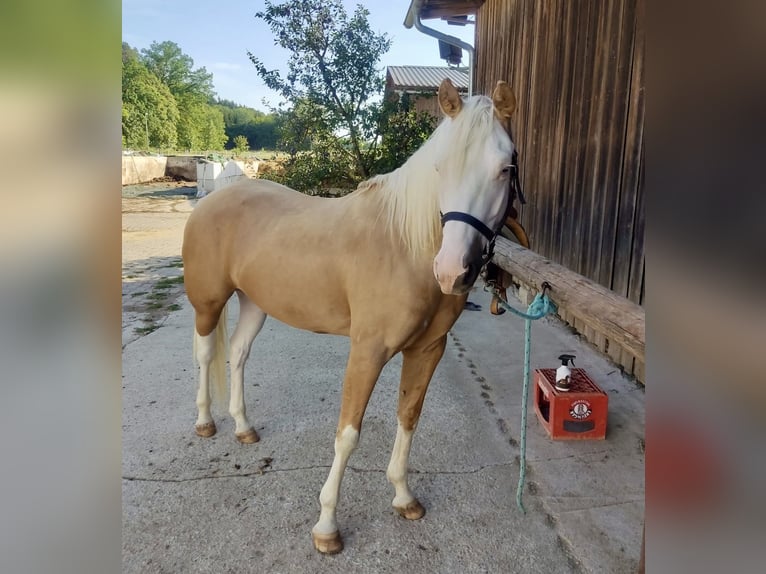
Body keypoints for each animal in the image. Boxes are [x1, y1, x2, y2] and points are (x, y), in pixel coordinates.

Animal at [182, 78, 518, 554]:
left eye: (506, 168)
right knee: (207, 354)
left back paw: (243, 427)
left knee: (240, 354)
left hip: (254, 303)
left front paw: (404, 497)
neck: (406, 246)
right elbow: (348, 434)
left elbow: (408, 417)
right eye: (440, 168)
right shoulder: (368, 351)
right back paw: (205, 422)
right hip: (208, 303)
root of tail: (216, 197)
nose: (452, 271)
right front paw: (327, 527)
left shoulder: (428, 350)